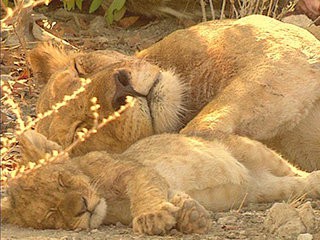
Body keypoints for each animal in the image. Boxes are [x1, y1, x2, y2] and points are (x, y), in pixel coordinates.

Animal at [2, 130, 320, 233]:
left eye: (62, 181)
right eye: (51, 214)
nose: (82, 207)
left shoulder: (134, 170)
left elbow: (145, 190)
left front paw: (152, 217)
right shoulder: (165, 185)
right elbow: (173, 196)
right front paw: (190, 217)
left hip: (250, 150)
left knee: (295, 171)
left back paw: (314, 177)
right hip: (264, 191)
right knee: (293, 186)